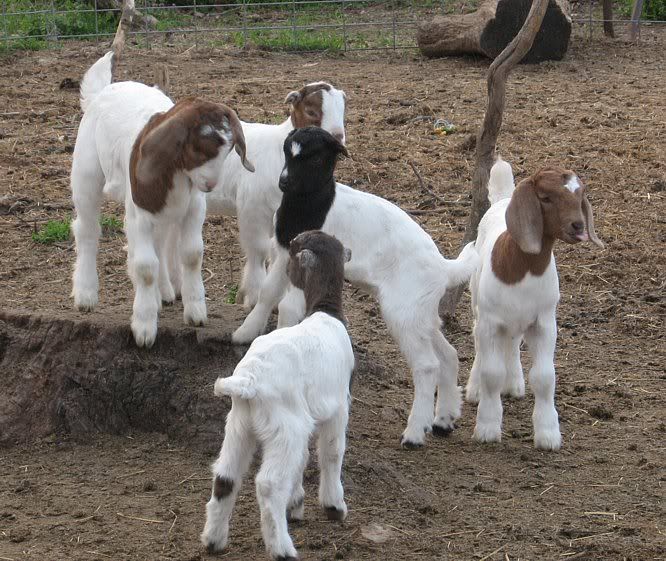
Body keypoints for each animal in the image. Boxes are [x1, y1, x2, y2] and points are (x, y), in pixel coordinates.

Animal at [70, 51, 253, 347]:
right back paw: (86, 294)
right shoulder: (141, 210)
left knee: (161, 239)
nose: (210, 184)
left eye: (229, 150)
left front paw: (195, 311)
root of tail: (104, 90)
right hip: (86, 172)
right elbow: (145, 266)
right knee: (87, 228)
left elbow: (191, 254)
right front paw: (144, 328)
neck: (176, 172)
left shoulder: (193, 208)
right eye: (198, 148)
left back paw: (164, 292)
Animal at [202, 230, 354, 560]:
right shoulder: (338, 407)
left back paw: (213, 541)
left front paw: (296, 504)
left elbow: (304, 458)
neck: (325, 312)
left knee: (225, 477)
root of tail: (248, 380)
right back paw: (282, 549)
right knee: (269, 484)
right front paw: (334, 506)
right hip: (285, 426)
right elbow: (331, 452)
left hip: (241, 424)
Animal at [232, 126, 479, 448]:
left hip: (403, 312)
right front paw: (245, 333)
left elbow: (286, 305)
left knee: (427, 365)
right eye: (287, 151)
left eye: (316, 158)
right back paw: (443, 421)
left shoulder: (299, 260)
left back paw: (414, 433)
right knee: (447, 355)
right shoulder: (284, 252)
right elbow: (268, 293)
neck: (308, 205)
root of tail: (444, 267)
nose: (284, 181)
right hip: (420, 311)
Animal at [466, 158, 604, 450]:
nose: (578, 226)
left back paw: (514, 384)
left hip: (520, 320)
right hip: (477, 304)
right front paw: (487, 428)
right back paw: (474, 389)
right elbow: (491, 374)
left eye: (580, 195)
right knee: (478, 340)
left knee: (513, 342)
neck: (523, 268)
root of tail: (503, 200)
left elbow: (544, 378)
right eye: (546, 197)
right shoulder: (491, 322)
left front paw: (548, 434)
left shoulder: (544, 323)